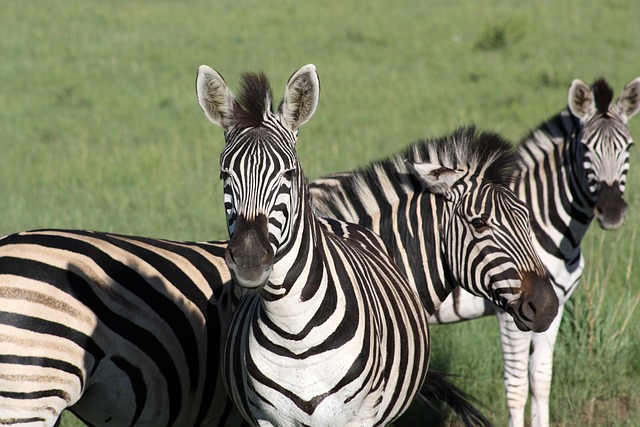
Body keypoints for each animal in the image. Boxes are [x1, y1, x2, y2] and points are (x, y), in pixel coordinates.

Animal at [196, 63, 436, 426]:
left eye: (289, 174)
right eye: (225, 175)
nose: (249, 260)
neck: (293, 328)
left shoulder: (359, 418)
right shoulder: (269, 419)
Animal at [426, 77, 640, 427]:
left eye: (629, 147)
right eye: (586, 148)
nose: (611, 211)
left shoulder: (554, 307)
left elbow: (540, 380)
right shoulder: (509, 312)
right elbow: (516, 389)